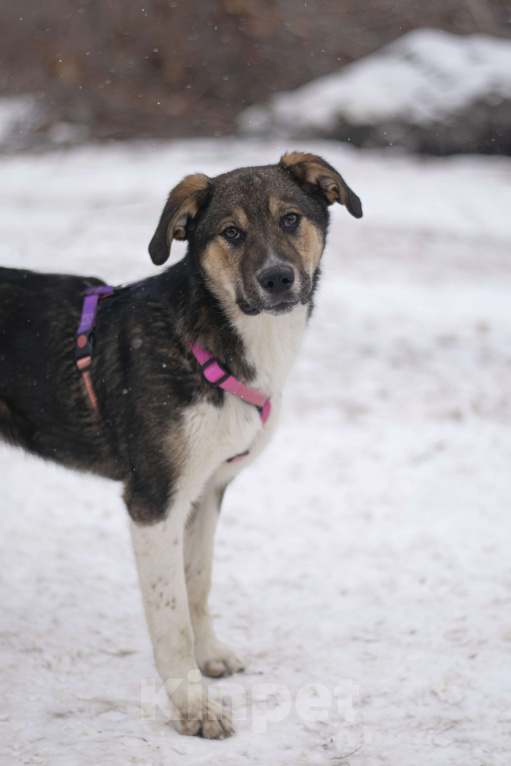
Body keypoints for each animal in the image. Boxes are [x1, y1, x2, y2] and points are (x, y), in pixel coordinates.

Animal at [0, 153, 362, 740]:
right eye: (231, 232)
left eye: (291, 219)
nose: (277, 278)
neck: (211, 340)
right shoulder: (153, 502)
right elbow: (170, 620)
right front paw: (193, 707)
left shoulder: (207, 489)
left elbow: (197, 583)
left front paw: (209, 655)